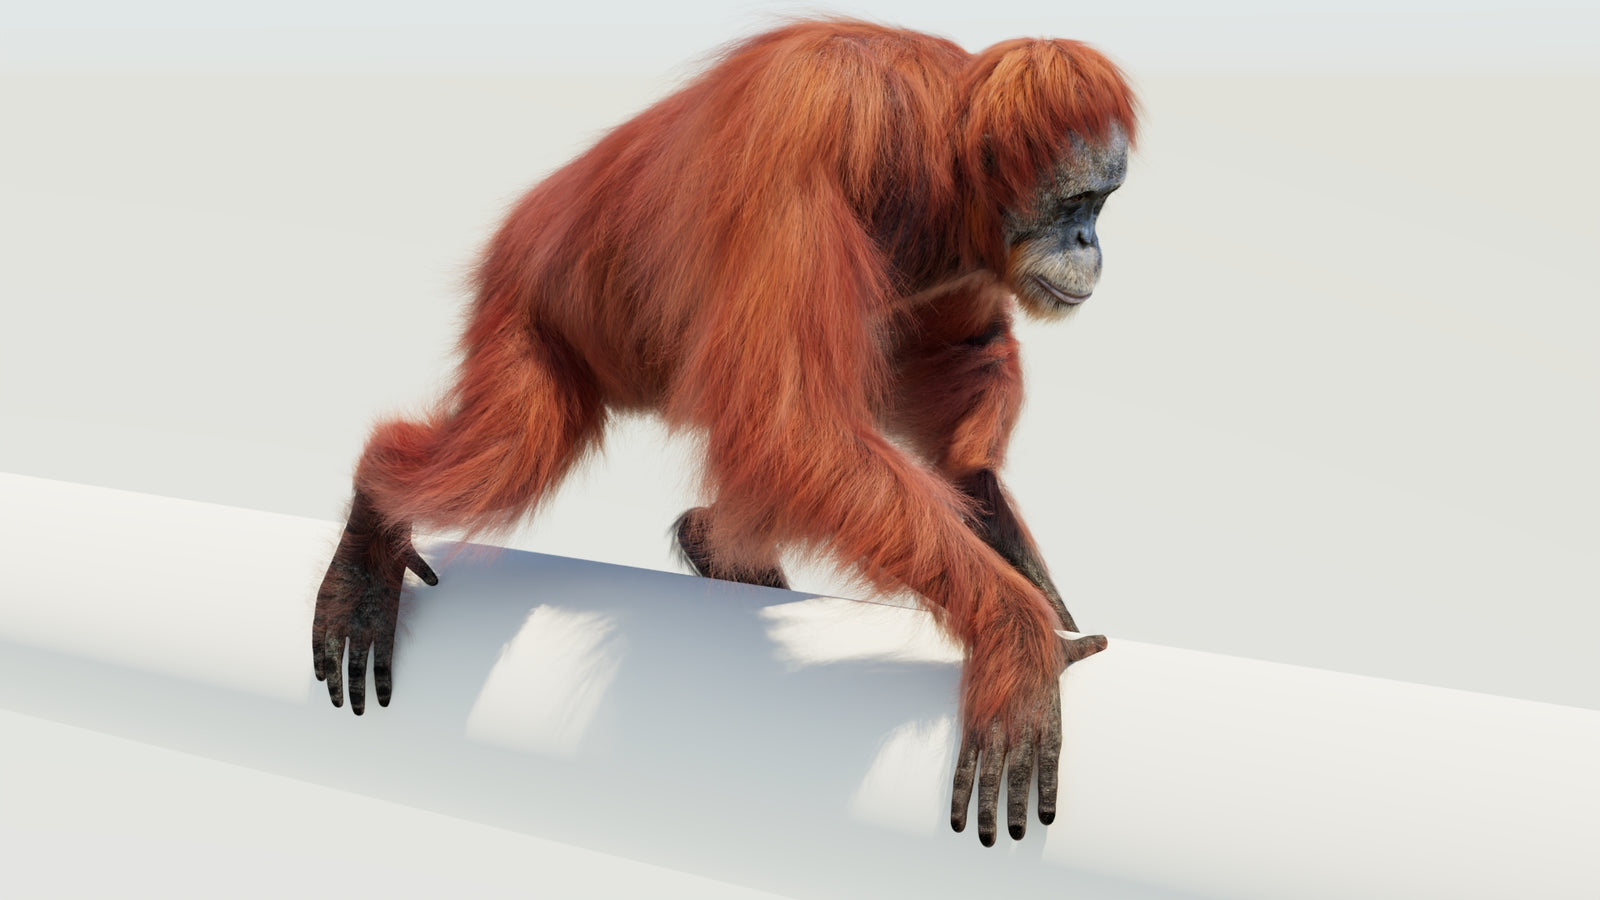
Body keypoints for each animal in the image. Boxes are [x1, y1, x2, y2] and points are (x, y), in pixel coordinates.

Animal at [313, 19, 1136, 847]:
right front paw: (1015, 638)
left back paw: (712, 543)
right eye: (1078, 200)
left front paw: (1040, 599)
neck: (938, 154)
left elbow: (956, 417)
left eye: (1102, 203)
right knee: (507, 457)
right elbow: (789, 427)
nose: (1089, 242)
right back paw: (374, 518)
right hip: (526, 302)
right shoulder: (817, 124)